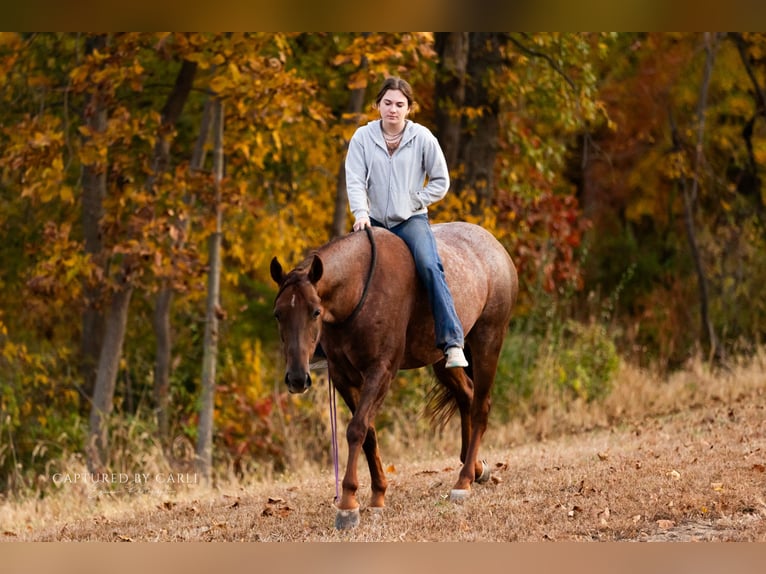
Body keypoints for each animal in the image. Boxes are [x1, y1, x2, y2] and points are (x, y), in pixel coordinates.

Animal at [270, 221, 518, 529]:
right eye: (278, 314)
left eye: (315, 312)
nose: (296, 378)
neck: (358, 292)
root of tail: (494, 246)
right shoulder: (342, 377)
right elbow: (368, 433)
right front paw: (377, 495)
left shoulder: (381, 371)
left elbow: (356, 429)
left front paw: (348, 504)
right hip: (442, 361)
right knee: (467, 396)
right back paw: (474, 468)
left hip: (488, 341)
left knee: (481, 407)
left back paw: (463, 483)